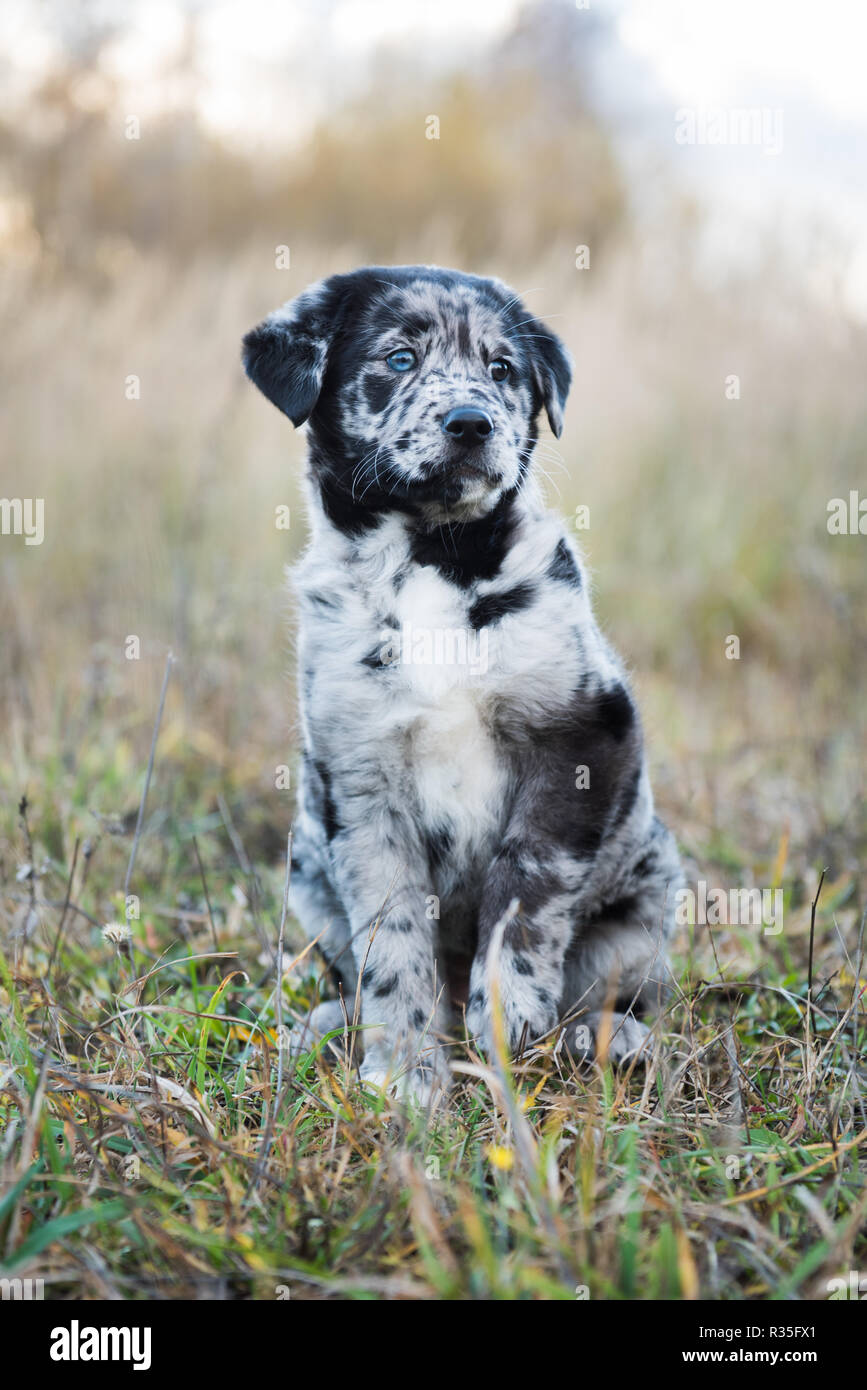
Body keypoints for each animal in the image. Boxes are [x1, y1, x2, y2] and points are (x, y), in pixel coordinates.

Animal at [240, 265, 680, 1100]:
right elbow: (392, 938)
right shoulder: (358, 780)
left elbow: (526, 886)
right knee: (353, 975)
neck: (429, 558)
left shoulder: (582, 731)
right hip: (308, 870)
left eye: (502, 369)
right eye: (399, 358)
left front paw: (505, 1012)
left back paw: (606, 1037)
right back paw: (319, 1028)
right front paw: (406, 1074)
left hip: (649, 895)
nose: (472, 422)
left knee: (612, 988)